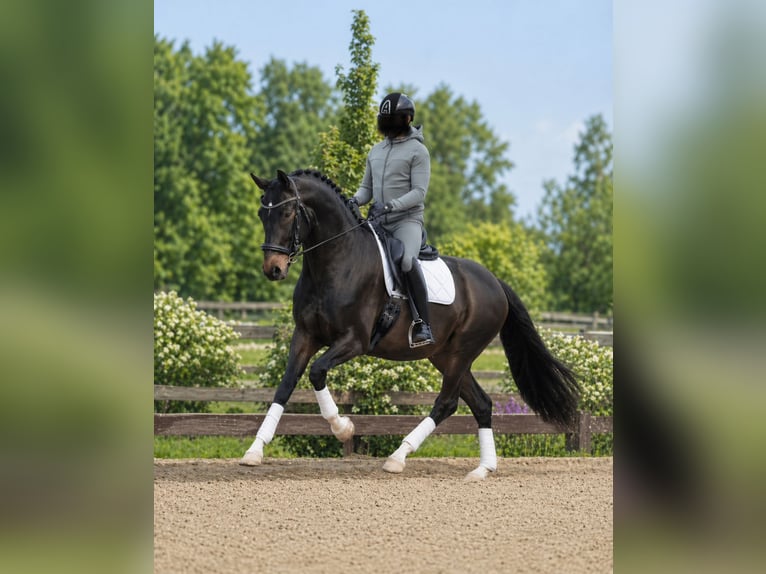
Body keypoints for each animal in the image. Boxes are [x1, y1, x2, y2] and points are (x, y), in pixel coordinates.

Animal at [240, 169, 580, 481]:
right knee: (481, 403)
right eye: (261, 213)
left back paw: (398, 457)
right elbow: (285, 386)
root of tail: (495, 283)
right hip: (444, 356)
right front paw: (254, 452)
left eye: (287, 213)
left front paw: (343, 428)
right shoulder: (305, 335)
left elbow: (317, 371)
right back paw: (482, 469)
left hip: (461, 353)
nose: (273, 269)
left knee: (446, 403)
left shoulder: (354, 341)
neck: (336, 262)